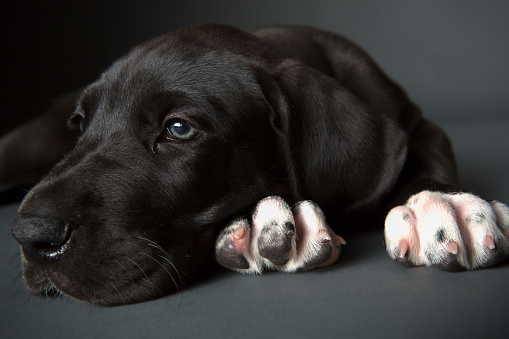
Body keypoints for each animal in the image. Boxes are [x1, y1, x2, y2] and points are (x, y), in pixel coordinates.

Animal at [3, 23, 508, 306]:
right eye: (80, 123)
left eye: (179, 129)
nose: (31, 237)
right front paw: (268, 218)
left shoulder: (420, 124)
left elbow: (431, 158)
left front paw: (443, 206)